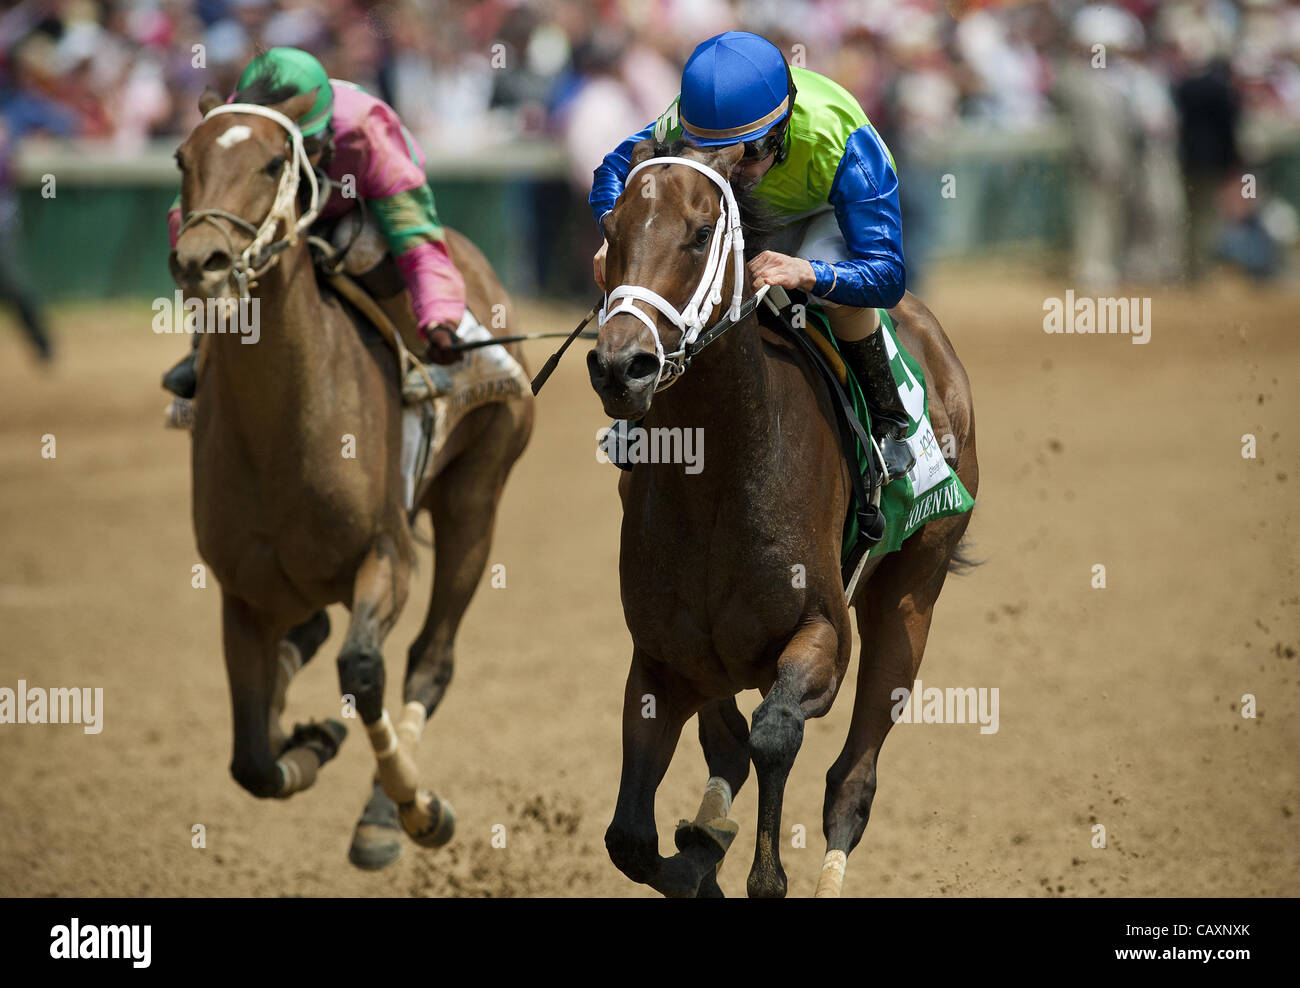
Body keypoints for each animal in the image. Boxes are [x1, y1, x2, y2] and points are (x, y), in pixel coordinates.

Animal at [172, 91, 533, 863]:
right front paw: (308, 739)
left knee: (430, 658)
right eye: (184, 158)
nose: (199, 259)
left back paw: (387, 812)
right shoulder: (240, 592)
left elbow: (364, 668)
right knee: (309, 634)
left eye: (272, 163)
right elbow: (252, 761)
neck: (282, 436)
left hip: (477, 494)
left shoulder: (386, 556)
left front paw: (413, 808)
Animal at [587, 141, 977, 904]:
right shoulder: (662, 658)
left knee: (850, 782)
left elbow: (774, 734)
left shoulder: (822, 633)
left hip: (912, 594)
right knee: (726, 748)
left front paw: (751, 870)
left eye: (699, 233)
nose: (621, 365)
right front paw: (697, 858)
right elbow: (631, 838)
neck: (716, 478)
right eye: (612, 231)